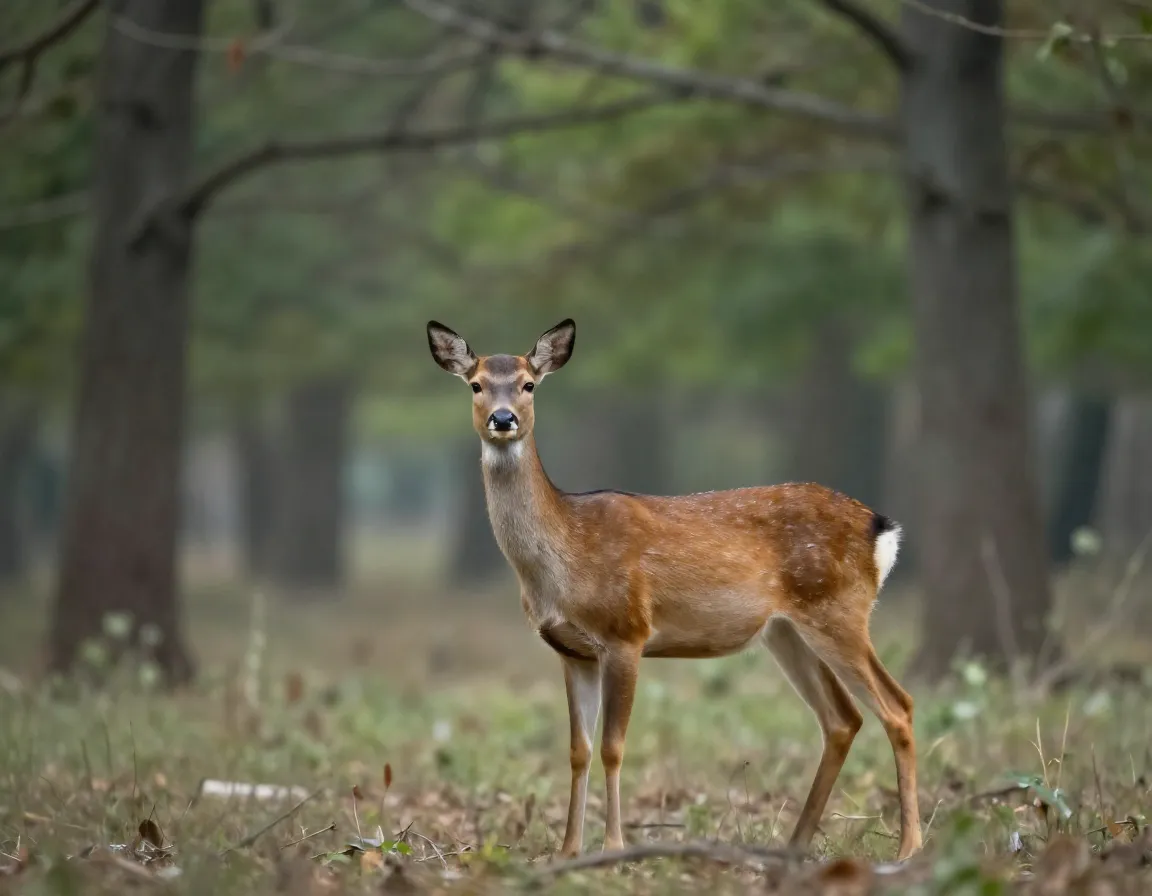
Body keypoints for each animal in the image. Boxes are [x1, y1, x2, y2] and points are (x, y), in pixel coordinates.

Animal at [426, 318, 922, 862]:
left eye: (528, 384)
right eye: (475, 384)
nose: (503, 418)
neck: (562, 559)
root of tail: (880, 528)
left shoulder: (626, 632)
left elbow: (612, 746)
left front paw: (614, 847)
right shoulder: (571, 651)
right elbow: (578, 750)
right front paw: (568, 850)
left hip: (839, 610)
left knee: (897, 706)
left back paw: (909, 848)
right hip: (787, 631)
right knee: (842, 719)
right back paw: (794, 845)